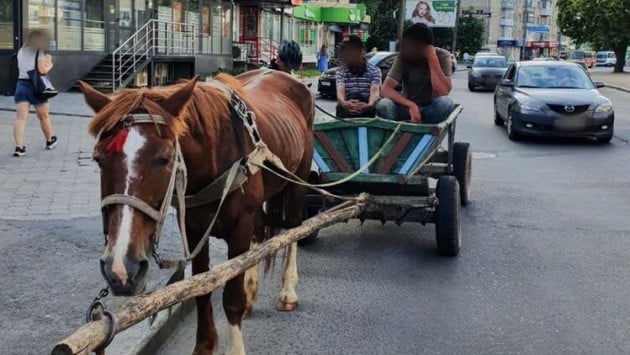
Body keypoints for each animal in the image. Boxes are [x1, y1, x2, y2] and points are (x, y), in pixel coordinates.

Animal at [79, 68, 316, 354]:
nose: (122, 267)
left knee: (293, 228)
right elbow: (201, 287)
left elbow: (232, 296)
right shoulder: (194, 230)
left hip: (298, 179)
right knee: (259, 235)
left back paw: (288, 290)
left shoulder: (240, 225)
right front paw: (204, 344)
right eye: (98, 159)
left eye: (165, 158)